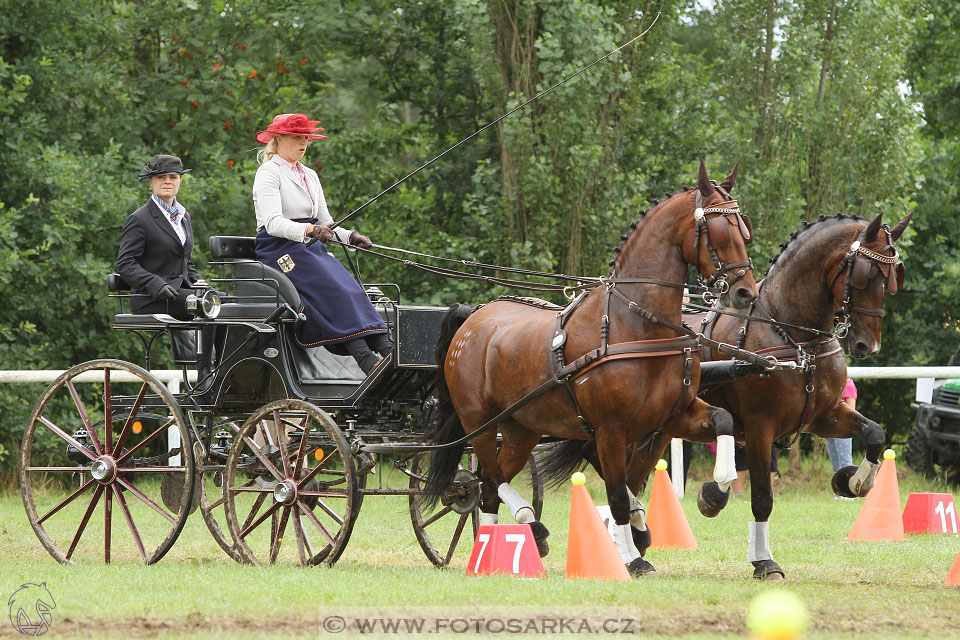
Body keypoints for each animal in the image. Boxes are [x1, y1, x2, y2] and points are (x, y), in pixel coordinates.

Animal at [424, 162, 760, 572]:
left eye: (744, 227)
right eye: (719, 230)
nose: (745, 293)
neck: (636, 326)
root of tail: (474, 317)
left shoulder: (673, 414)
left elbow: (723, 421)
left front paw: (714, 492)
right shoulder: (610, 431)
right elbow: (616, 496)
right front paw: (632, 560)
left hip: (522, 429)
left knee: (490, 485)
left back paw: (500, 547)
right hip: (481, 423)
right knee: (488, 478)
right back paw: (518, 528)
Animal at [544, 211, 912, 580]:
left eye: (894, 277)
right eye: (866, 274)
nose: (867, 345)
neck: (792, 336)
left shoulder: (823, 416)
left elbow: (874, 433)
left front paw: (853, 481)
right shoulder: (759, 426)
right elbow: (761, 495)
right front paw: (761, 557)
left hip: (657, 430)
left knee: (625, 477)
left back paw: (634, 542)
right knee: (615, 472)